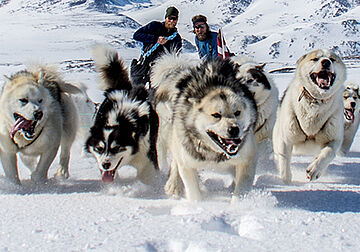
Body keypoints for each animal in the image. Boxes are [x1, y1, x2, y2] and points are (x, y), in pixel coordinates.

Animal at [152, 54, 258, 201]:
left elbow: (241, 190)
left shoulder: (247, 160)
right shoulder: (187, 162)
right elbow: (193, 191)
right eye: (216, 115)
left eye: (238, 112)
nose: (234, 129)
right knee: (175, 159)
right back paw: (173, 184)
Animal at [272, 49, 346, 183]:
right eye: (315, 59)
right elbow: (284, 160)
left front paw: (315, 170)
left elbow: (328, 153)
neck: (316, 101)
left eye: (332, 59)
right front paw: (286, 181)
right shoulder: (286, 139)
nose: (326, 62)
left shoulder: (334, 138)